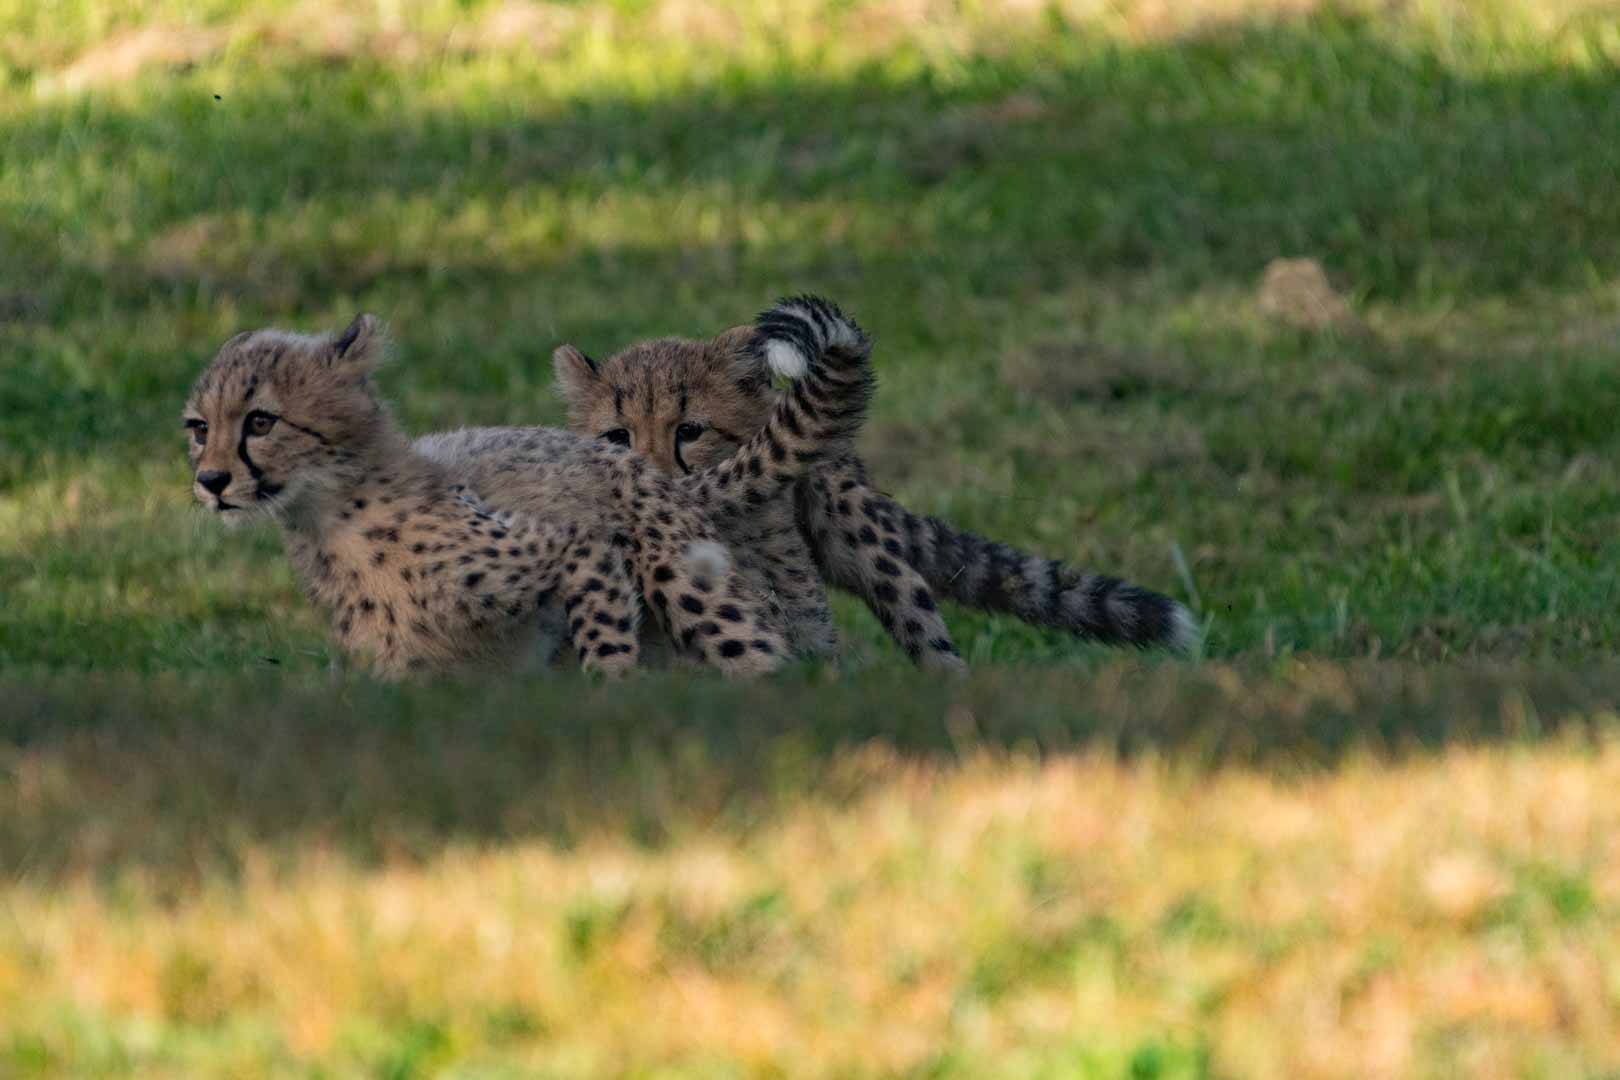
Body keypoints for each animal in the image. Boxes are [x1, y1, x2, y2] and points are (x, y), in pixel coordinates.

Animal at [181, 308, 872, 680]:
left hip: (690, 584)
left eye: (261, 421)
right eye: (199, 429)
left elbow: (607, 650)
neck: (329, 517)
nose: (210, 482)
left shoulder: (572, 553)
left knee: (756, 652)